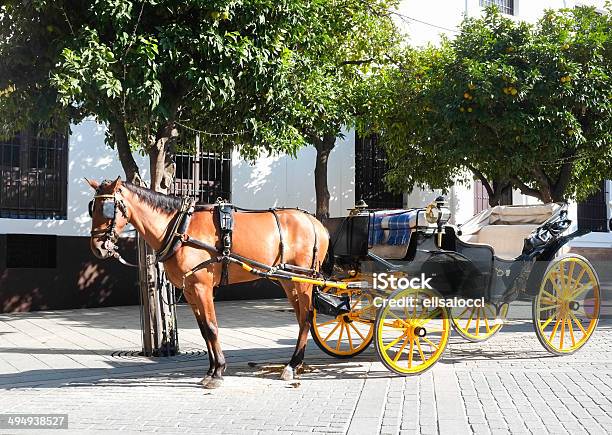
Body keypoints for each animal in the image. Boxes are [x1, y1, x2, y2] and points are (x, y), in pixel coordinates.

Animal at [86, 177, 330, 388]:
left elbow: (212, 327)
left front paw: (218, 371)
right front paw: (212, 370)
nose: (97, 248)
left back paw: (292, 365)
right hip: (289, 280)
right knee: (301, 317)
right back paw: (295, 364)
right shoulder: (190, 290)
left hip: (303, 280)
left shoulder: (202, 287)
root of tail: (315, 222)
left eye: (107, 209)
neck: (180, 228)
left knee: (306, 317)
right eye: (92, 208)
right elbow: (204, 330)